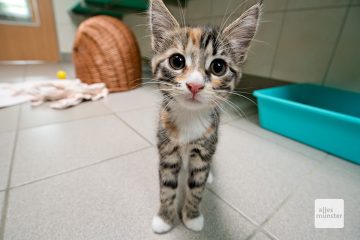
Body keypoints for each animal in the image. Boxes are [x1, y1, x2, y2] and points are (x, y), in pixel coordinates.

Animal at [149, 0, 262, 233]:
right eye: (176, 61)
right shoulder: (167, 148)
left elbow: (197, 185)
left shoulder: (206, 144)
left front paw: (192, 217)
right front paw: (165, 218)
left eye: (218, 67)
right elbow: (167, 186)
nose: (195, 85)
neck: (189, 118)